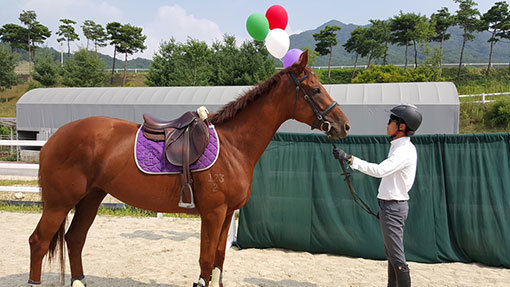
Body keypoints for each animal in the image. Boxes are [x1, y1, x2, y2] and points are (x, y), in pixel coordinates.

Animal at [27, 51, 350, 287]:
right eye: (315, 89)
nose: (343, 125)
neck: (234, 146)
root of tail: (55, 137)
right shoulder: (213, 213)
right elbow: (206, 261)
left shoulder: (227, 214)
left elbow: (218, 259)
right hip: (59, 203)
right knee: (39, 242)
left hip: (90, 198)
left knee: (74, 239)